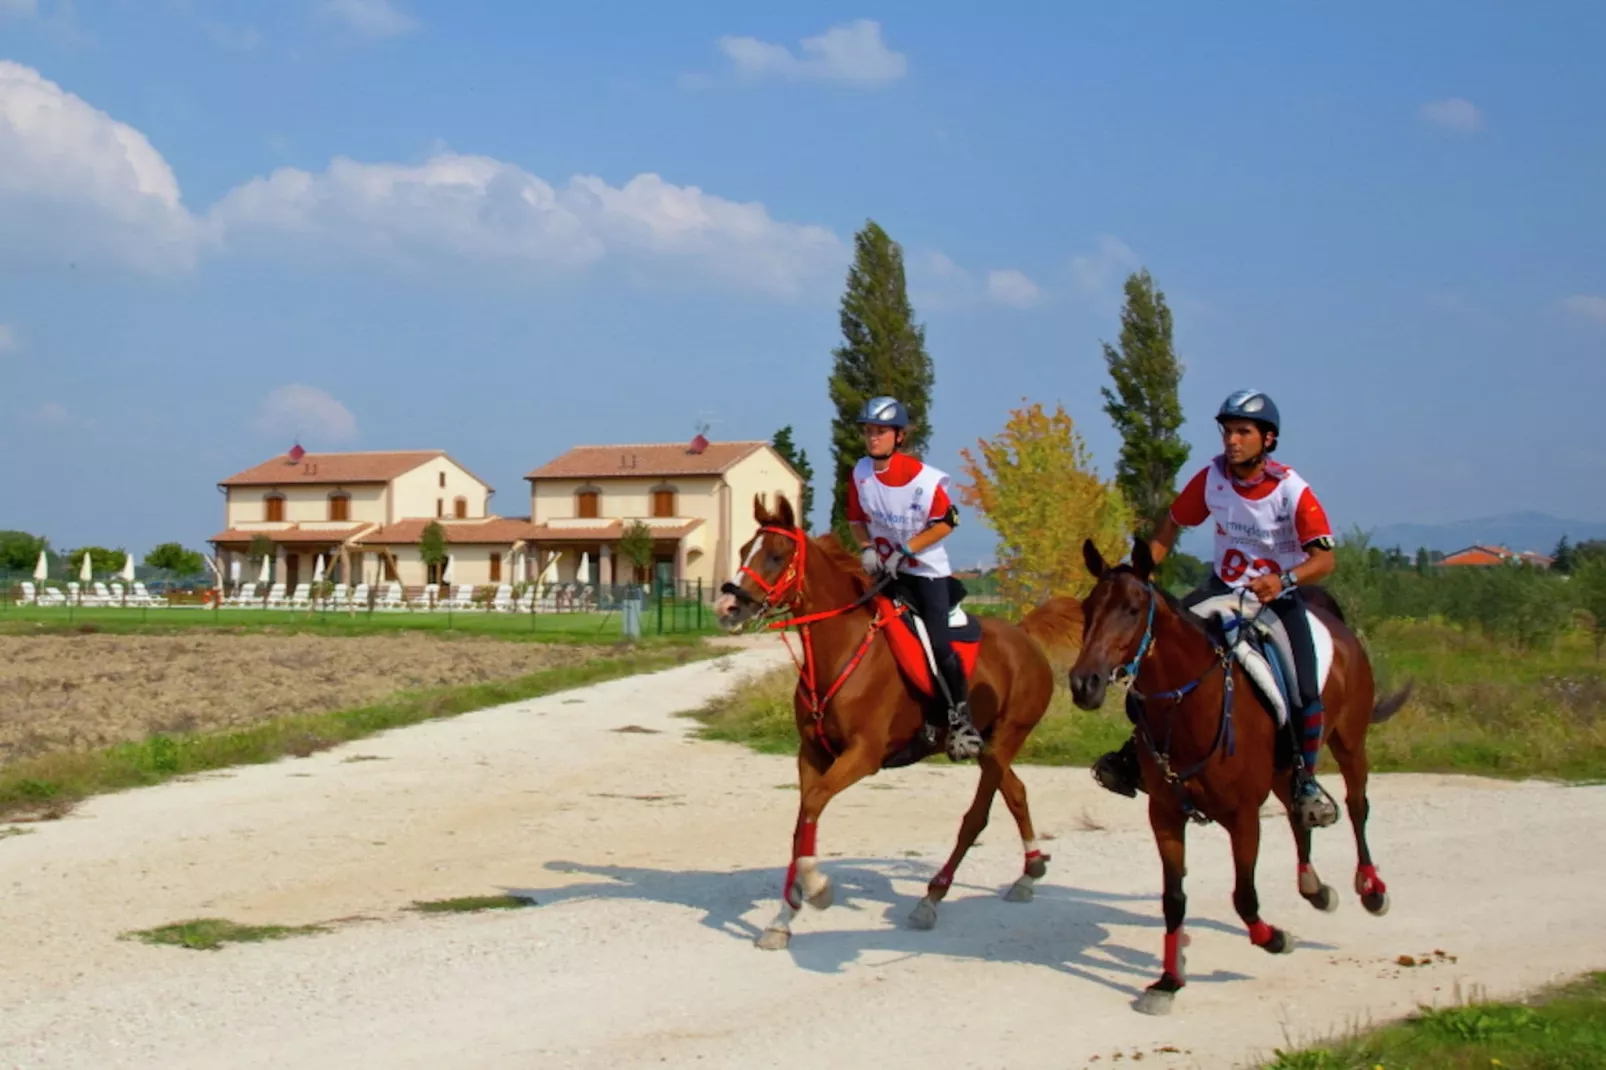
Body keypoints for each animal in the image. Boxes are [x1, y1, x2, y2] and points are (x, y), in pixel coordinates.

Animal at [713, 488, 1079, 944]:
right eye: (745, 549)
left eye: (776, 555)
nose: (727, 606)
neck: (842, 650)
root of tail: (1024, 636)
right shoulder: (811, 753)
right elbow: (802, 822)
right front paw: (782, 919)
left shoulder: (863, 755)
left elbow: (813, 805)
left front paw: (817, 890)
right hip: (991, 747)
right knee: (1016, 793)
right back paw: (1029, 872)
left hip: (1005, 739)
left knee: (976, 817)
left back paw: (931, 898)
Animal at [1072, 536, 1413, 1015]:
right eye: (1087, 607)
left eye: (1133, 608)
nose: (1084, 683)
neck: (1193, 706)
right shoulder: (1165, 815)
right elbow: (1173, 899)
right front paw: (1168, 982)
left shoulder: (1244, 816)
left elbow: (1244, 895)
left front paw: (1274, 939)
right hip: (1286, 770)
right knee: (1297, 813)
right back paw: (1314, 887)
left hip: (1350, 741)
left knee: (1356, 805)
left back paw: (1371, 889)